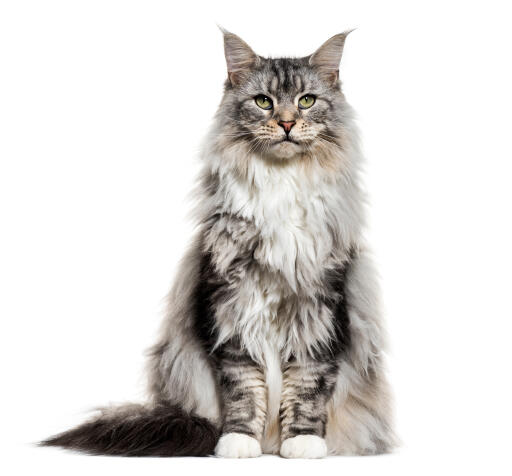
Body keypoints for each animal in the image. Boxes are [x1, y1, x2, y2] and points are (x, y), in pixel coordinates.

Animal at [44, 28, 396, 458]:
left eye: (306, 101)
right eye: (263, 101)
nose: (287, 123)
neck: (281, 185)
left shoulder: (323, 309)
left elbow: (308, 385)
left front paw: (303, 443)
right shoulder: (230, 304)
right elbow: (242, 387)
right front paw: (238, 442)